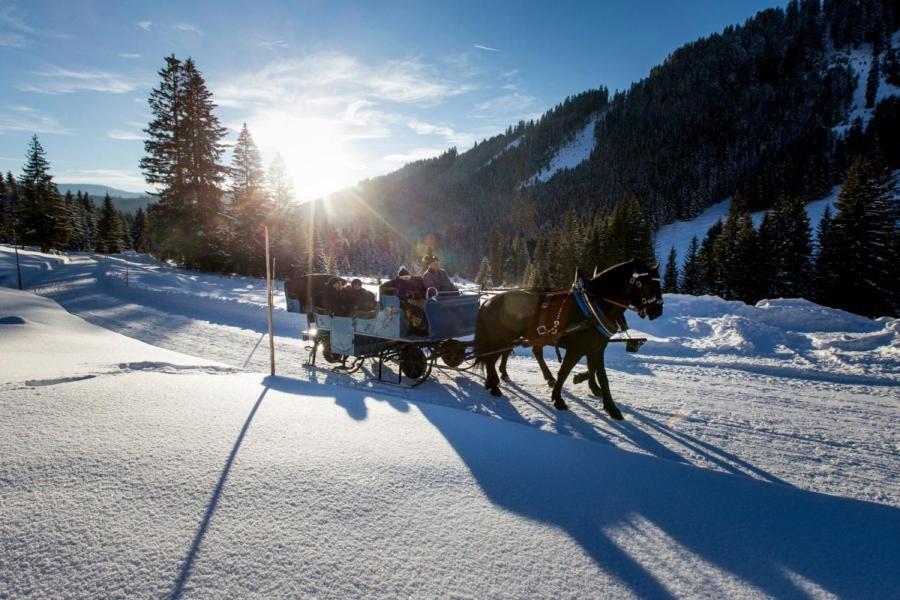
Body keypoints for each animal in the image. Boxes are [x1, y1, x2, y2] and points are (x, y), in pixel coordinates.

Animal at [474, 258, 664, 418]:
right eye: (647, 284)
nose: (657, 311)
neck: (592, 306)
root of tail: (488, 302)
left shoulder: (596, 349)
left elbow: (602, 376)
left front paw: (610, 407)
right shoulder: (576, 349)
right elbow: (564, 372)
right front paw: (558, 399)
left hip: (514, 337)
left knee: (512, 354)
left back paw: (501, 378)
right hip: (501, 339)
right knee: (491, 359)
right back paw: (494, 385)